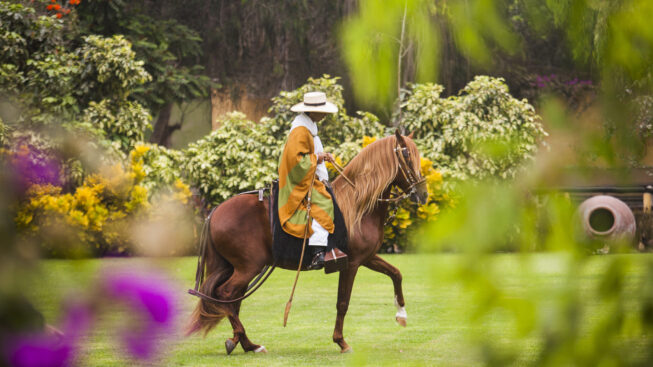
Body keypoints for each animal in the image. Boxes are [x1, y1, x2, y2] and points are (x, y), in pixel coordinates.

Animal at [186, 132, 426, 354]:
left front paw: (401, 314)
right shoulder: (352, 263)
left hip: (236, 268)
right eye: (406, 155)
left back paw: (244, 342)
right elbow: (343, 302)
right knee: (226, 295)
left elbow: (396, 274)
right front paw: (341, 341)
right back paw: (246, 341)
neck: (357, 204)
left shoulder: (367, 257)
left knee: (230, 301)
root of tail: (215, 211)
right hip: (248, 267)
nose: (423, 194)